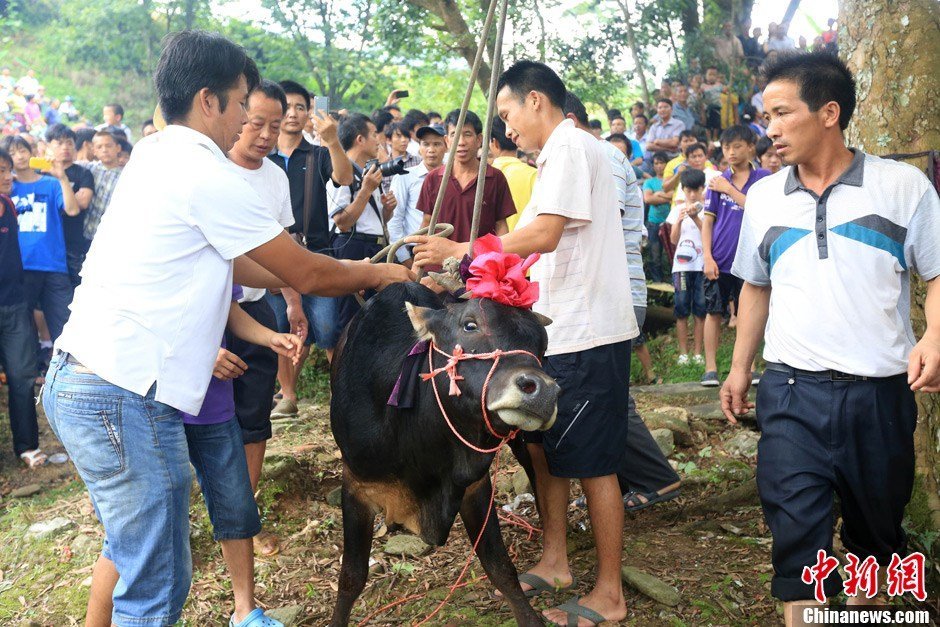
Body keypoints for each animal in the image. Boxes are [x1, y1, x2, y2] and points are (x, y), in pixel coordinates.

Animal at [328, 284, 560, 627]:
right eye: (469, 325)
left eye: (542, 344)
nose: (543, 392)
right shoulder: (356, 486)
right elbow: (351, 578)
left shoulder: (475, 485)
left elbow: (500, 567)